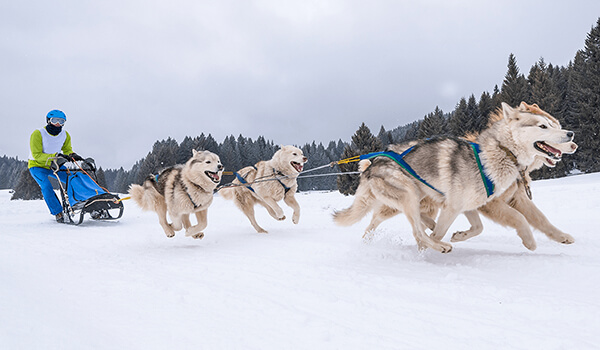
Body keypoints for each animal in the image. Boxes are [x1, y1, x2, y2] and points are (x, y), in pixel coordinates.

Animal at [336, 102, 576, 253]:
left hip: (414, 199)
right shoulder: (463, 206)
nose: (571, 135)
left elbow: (482, 227)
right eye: (543, 126)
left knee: (391, 221)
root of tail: (371, 164)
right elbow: (519, 218)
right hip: (409, 195)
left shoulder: (471, 205)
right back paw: (436, 245)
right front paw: (529, 242)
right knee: (415, 230)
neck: (500, 153)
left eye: (555, 125)